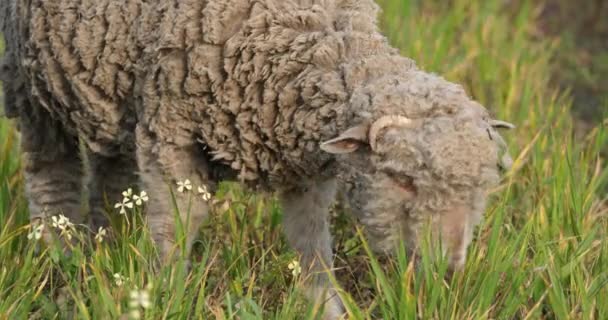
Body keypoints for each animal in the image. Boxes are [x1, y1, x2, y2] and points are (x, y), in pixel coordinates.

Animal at [1, 0, 512, 318]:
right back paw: (61, 254)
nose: (450, 266)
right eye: (403, 180)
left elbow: (312, 247)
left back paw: (110, 247)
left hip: (110, 82)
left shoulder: (307, 167)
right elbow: (176, 225)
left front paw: (326, 308)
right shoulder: (170, 129)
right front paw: (162, 293)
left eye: (480, 191)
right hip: (31, 78)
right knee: (51, 173)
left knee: (111, 177)